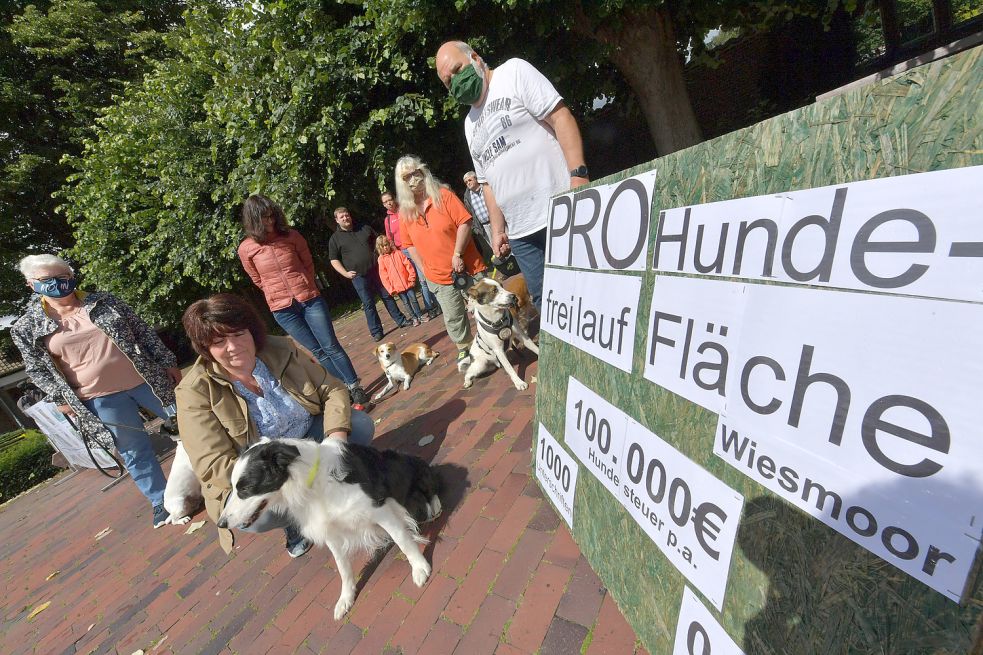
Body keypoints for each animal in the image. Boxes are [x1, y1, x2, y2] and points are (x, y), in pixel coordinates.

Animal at [221, 440, 444, 620]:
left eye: (245, 489)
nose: (221, 523)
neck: (310, 486)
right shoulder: (330, 531)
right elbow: (342, 567)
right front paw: (346, 598)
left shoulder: (379, 509)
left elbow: (403, 541)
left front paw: (419, 568)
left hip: (413, 469)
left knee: (432, 485)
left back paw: (434, 506)